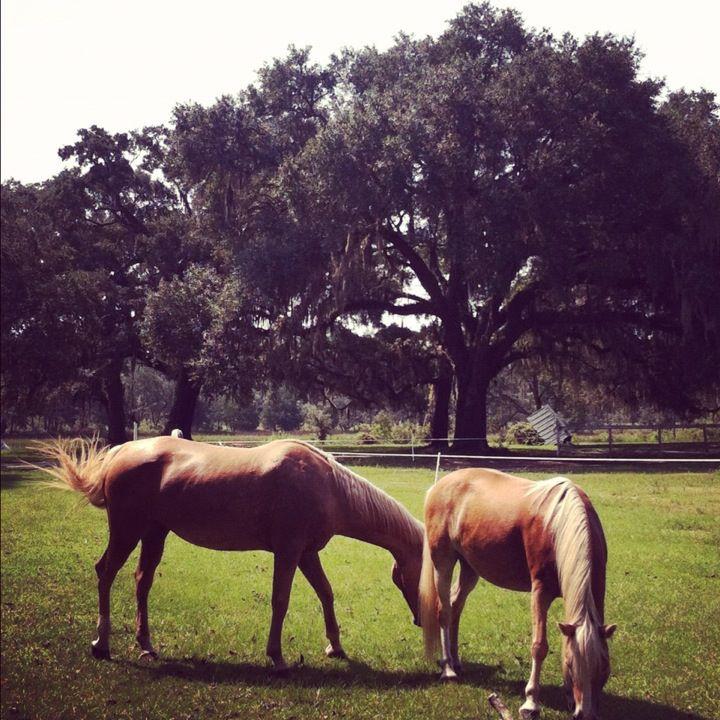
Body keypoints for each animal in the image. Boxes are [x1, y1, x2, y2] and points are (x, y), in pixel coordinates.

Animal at [38, 435, 424, 672]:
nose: (422, 618)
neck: (327, 485)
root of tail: (122, 451)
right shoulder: (288, 551)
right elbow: (280, 600)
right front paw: (277, 658)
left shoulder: (306, 553)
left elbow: (325, 593)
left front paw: (336, 648)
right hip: (127, 531)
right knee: (106, 573)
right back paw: (101, 644)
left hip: (153, 534)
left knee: (141, 582)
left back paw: (146, 645)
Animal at [419, 469, 616, 720]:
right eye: (571, 665)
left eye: (604, 666)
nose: (586, 713)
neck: (557, 524)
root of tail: (438, 486)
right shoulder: (540, 591)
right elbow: (539, 646)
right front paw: (531, 702)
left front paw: (569, 697)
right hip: (442, 561)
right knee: (444, 612)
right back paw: (448, 669)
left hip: (470, 568)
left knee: (456, 606)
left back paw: (456, 661)